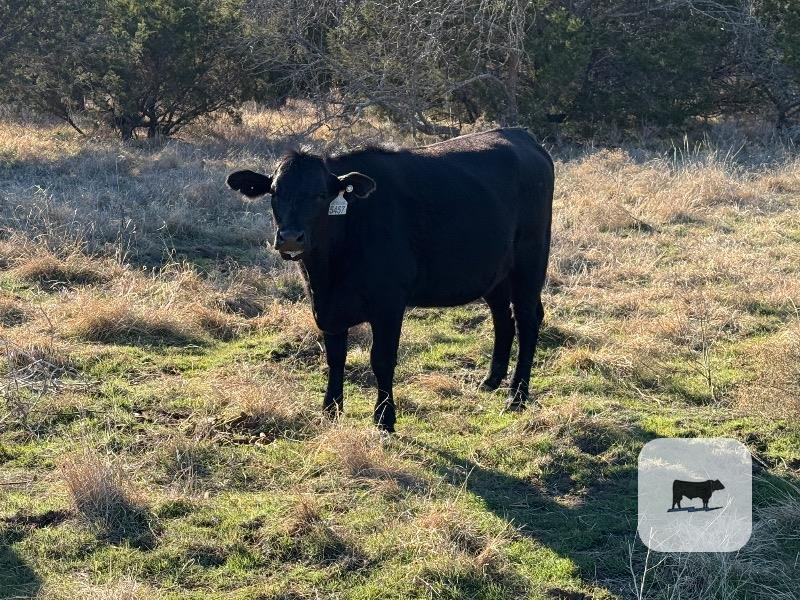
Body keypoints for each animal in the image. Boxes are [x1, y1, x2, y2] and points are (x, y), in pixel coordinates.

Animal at [226, 128, 554, 432]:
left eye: (321, 195)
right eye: (275, 192)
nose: (291, 237)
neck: (329, 271)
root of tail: (520, 135)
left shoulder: (388, 303)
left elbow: (382, 359)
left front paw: (384, 419)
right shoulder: (327, 307)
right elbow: (335, 357)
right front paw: (331, 410)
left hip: (530, 261)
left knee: (527, 318)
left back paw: (517, 396)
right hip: (495, 273)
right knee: (503, 317)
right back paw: (490, 380)